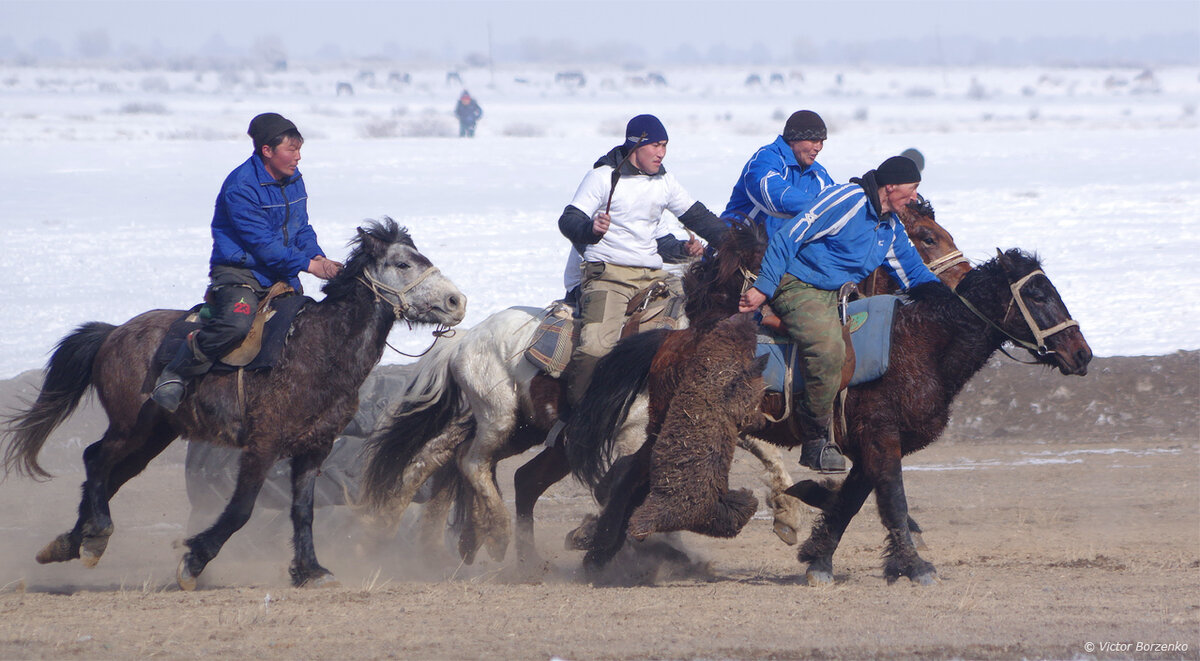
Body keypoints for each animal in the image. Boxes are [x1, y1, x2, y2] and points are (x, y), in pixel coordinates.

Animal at [0, 218, 465, 590]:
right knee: (95, 459)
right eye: (403, 264)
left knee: (109, 474)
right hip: (130, 426)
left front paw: (311, 571)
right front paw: (193, 560)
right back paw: (95, 536)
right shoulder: (263, 444)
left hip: (153, 435)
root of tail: (113, 333)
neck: (318, 348)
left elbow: (303, 511)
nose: (456, 302)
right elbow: (241, 509)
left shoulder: (314, 449)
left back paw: (68, 543)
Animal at [566, 247, 1094, 585]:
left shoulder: (869, 445)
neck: (922, 344)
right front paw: (916, 568)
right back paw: (600, 555)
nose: (1081, 353)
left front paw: (819, 558)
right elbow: (892, 500)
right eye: (1039, 296)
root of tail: (670, 338)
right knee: (632, 475)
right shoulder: (882, 437)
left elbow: (852, 501)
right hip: (669, 425)